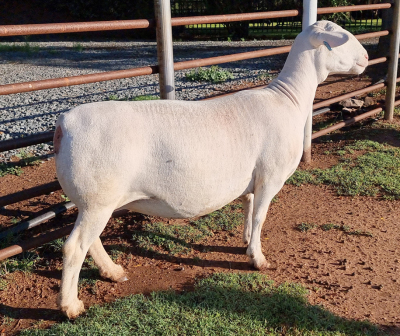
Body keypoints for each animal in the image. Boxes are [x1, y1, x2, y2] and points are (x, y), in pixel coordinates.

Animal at [54, 21, 368, 318]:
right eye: (339, 38)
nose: (366, 56)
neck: (288, 99)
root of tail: (64, 124)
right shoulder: (271, 176)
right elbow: (260, 217)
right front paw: (258, 258)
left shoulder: (253, 177)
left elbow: (249, 207)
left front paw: (245, 241)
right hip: (98, 197)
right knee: (74, 247)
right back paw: (70, 306)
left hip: (93, 200)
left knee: (90, 242)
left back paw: (113, 272)